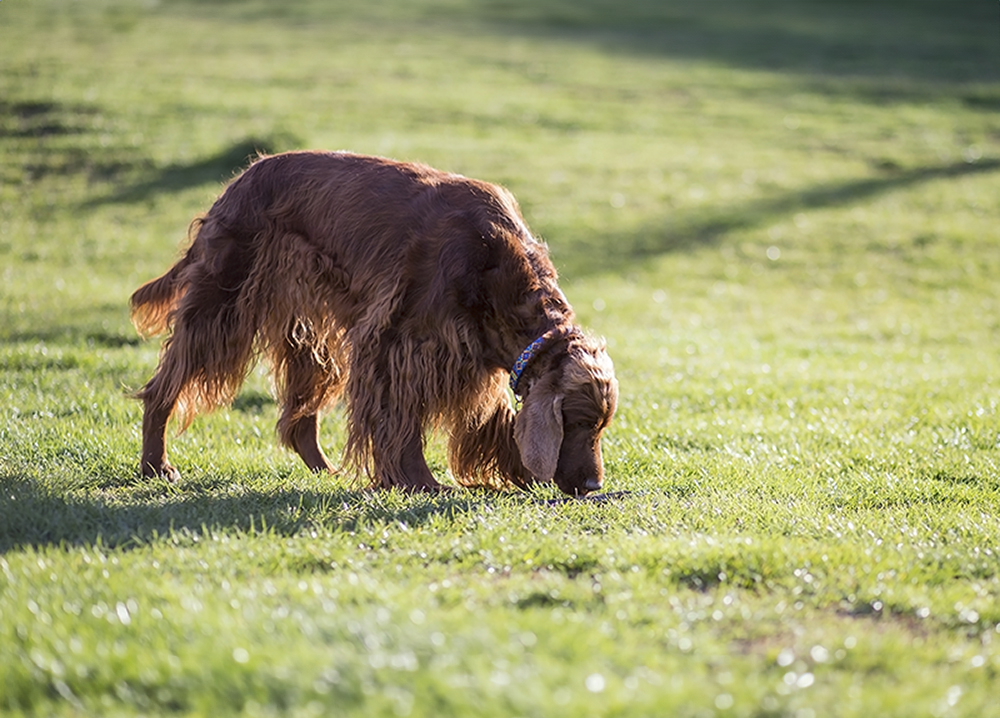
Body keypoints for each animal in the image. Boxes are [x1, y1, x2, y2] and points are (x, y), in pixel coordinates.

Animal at [133, 151, 616, 496]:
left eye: (600, 425)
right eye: (576, 421)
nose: (593, 486)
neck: (495, 262)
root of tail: (241, 177)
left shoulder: (475, 359)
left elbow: (494, 418)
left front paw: (517, 471)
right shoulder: (400, 344)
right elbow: (403, 424)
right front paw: (420, 483)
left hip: (309, 334)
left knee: (299, 419)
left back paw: (324, 470)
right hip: (221, 306)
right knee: (163, 388)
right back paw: (156, 465)